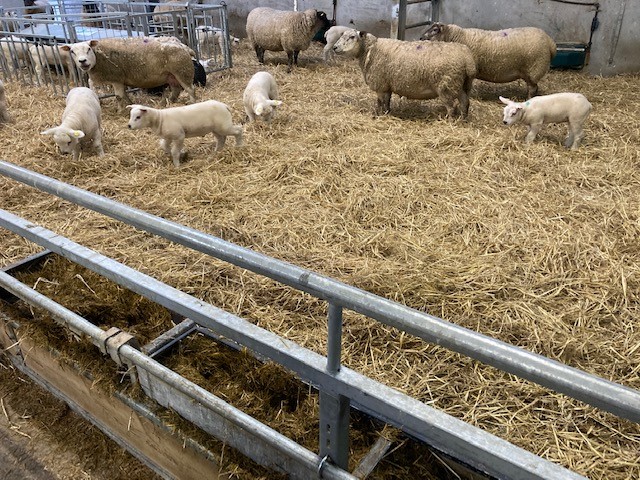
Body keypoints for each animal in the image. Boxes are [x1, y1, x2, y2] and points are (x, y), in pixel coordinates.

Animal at [61, 37, 196, 111]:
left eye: (88, 49)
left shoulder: (116, 78)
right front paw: (129, 104)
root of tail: (184, 46)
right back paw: (169, 102)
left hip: (183, 71)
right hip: (171, 75)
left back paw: (192, 102)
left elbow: (118, 96)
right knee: (176, 89)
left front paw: (120, 110)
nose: (82, 61)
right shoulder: (109, 78)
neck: (98, 58)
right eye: (72, 51)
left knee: (190, 89)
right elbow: (122, 94)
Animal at [333, 29, 476, 118]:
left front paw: (379, 115)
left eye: (352, 37)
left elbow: (380, 102)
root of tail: (467, 58)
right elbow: (386, 102)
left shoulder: (381, 85)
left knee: (452, 107)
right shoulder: (387, 85)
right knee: (465, 102)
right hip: (461, 84)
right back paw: (463, 119)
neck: (370, 49)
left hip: (447, 85)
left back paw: (450, 121)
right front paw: (386, 113)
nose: (334, 47)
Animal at [421, 23, 556, 98]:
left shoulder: (471, 69)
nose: (421, 38)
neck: (458, 37)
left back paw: (528, 100)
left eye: (435, 30)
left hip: (535, 68)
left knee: (533, 88)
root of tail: (551, 42)